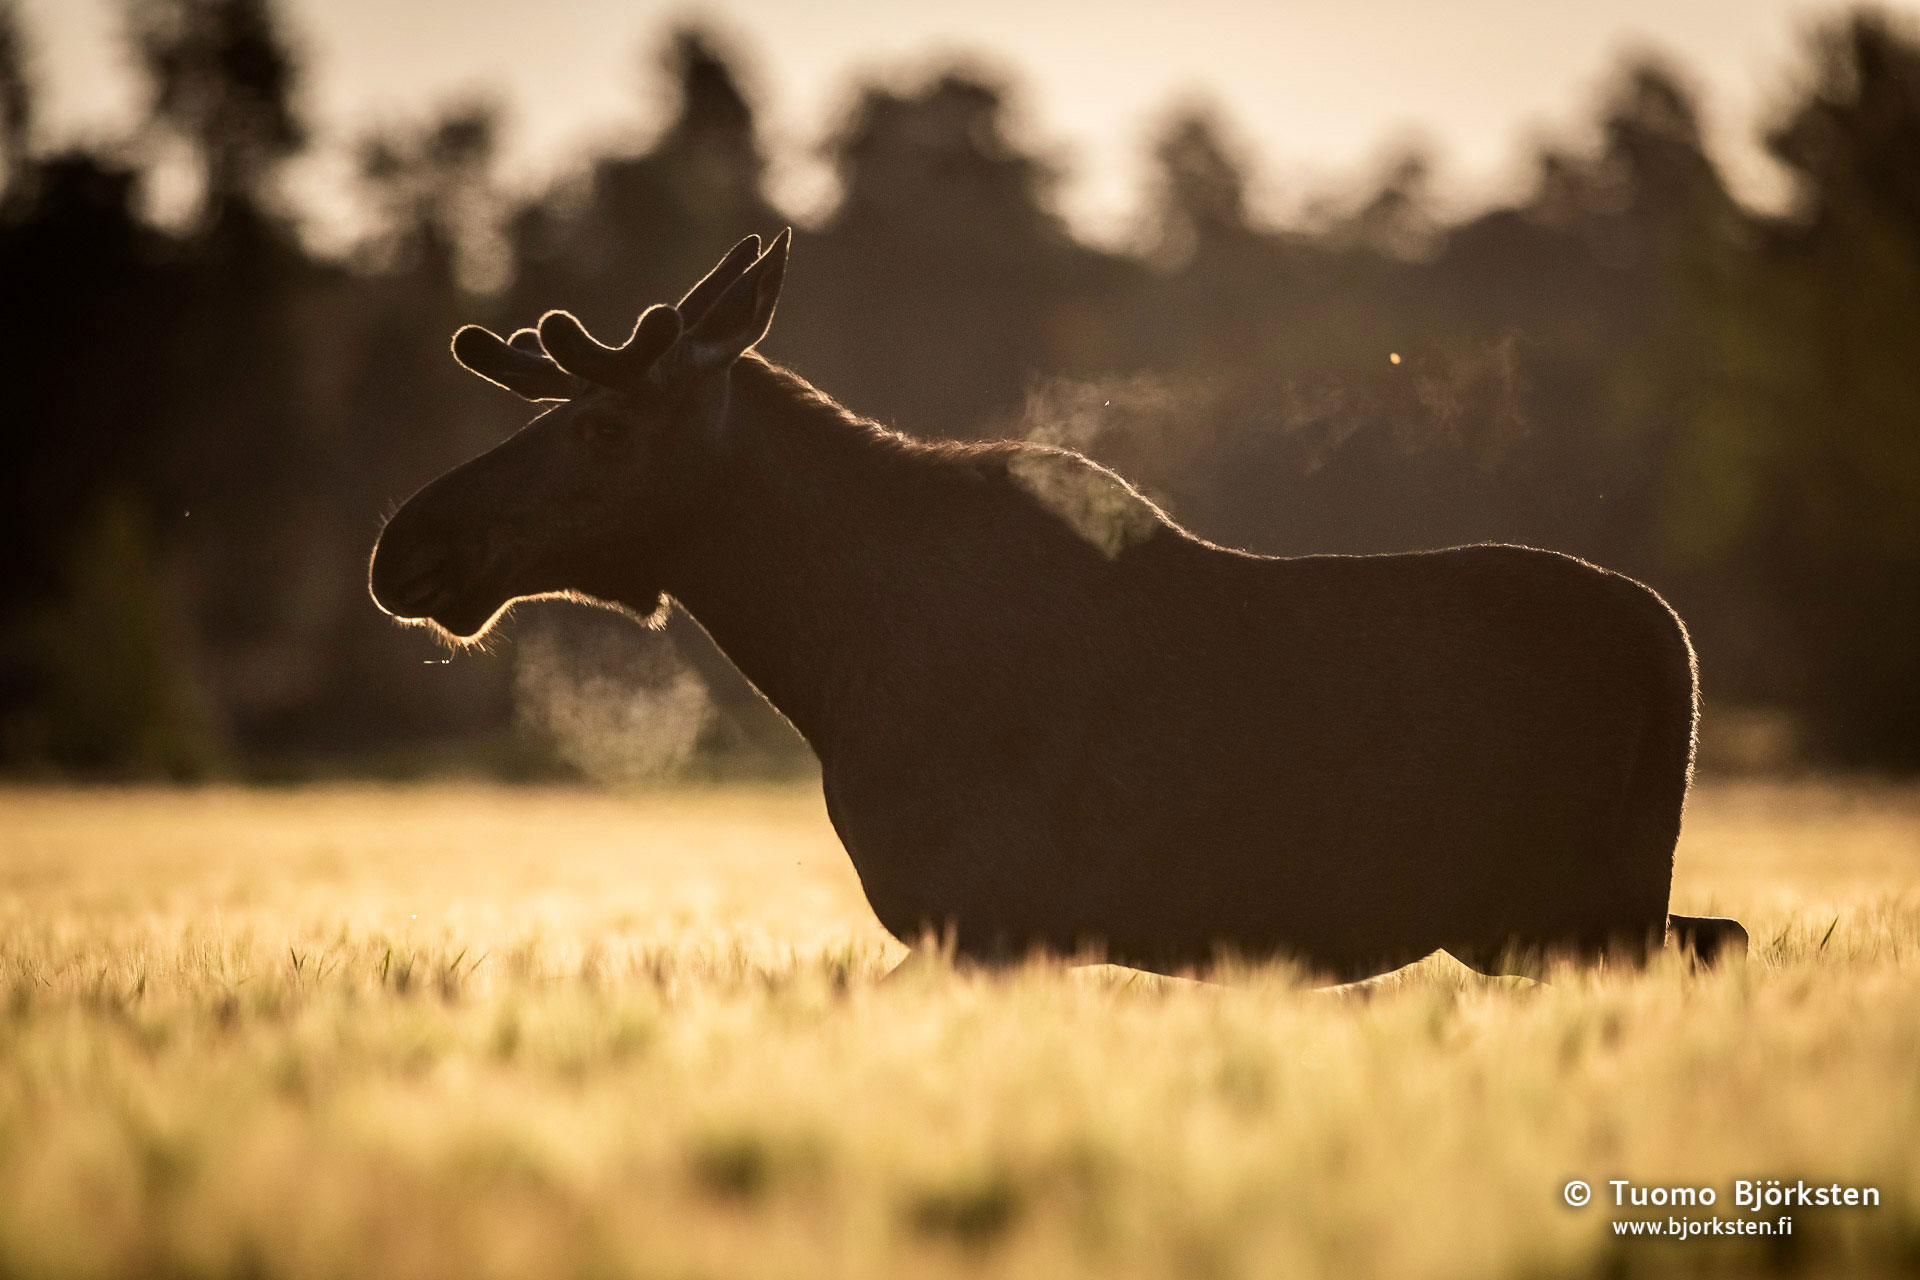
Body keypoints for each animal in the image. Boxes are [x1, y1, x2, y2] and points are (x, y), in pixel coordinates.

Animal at [366, 230, 1751, 982]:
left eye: (602, 427)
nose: (403, 544)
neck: (830, 662)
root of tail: (1676, 648)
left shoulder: (988, 916)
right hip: (1571, 910)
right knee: (1728, 932)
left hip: (1569, 904)